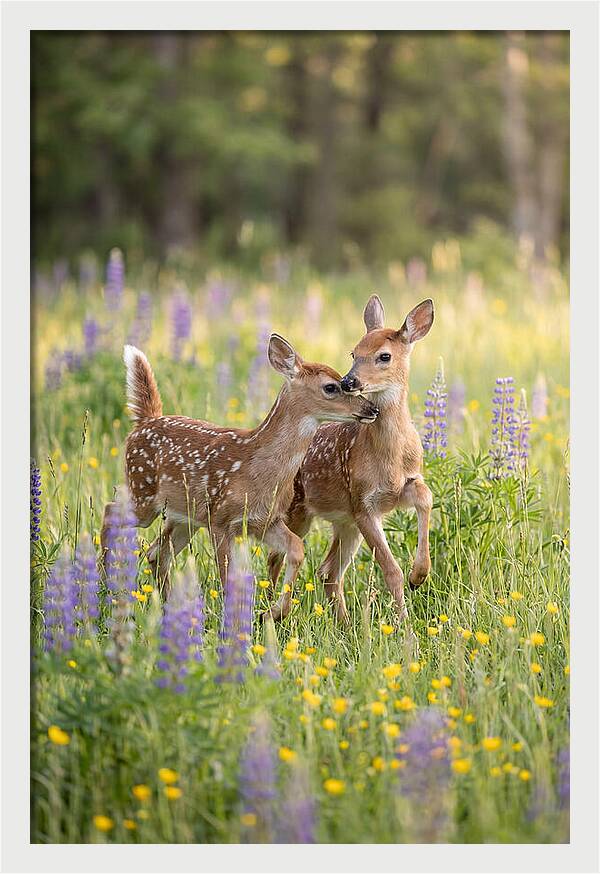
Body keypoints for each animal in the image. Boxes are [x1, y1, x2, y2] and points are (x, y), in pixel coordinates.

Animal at [100, 336, 378, 601]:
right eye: (331, 386)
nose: (372, 409)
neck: (257, 468)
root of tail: (145, 421)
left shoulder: (265, 520)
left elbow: (297, 549)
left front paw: (275, 612)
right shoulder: (221, 520)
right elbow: (227, 579)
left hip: (184, 516)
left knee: (156, 553)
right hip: (143, 492)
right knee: (111, 510)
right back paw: (104, 582)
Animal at [266, 296, 434, 623]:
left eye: (384, 356)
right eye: (354, 352)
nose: (348, 381)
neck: (390, 457)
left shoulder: (398, 489)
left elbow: (425, 496)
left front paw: (419, 574)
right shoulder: (362, 503)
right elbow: (391, 571)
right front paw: (405, 625)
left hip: (344, 522)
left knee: (328, 571)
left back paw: (343, 624)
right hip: (298, 511)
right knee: (276, 559)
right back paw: (268, 611)